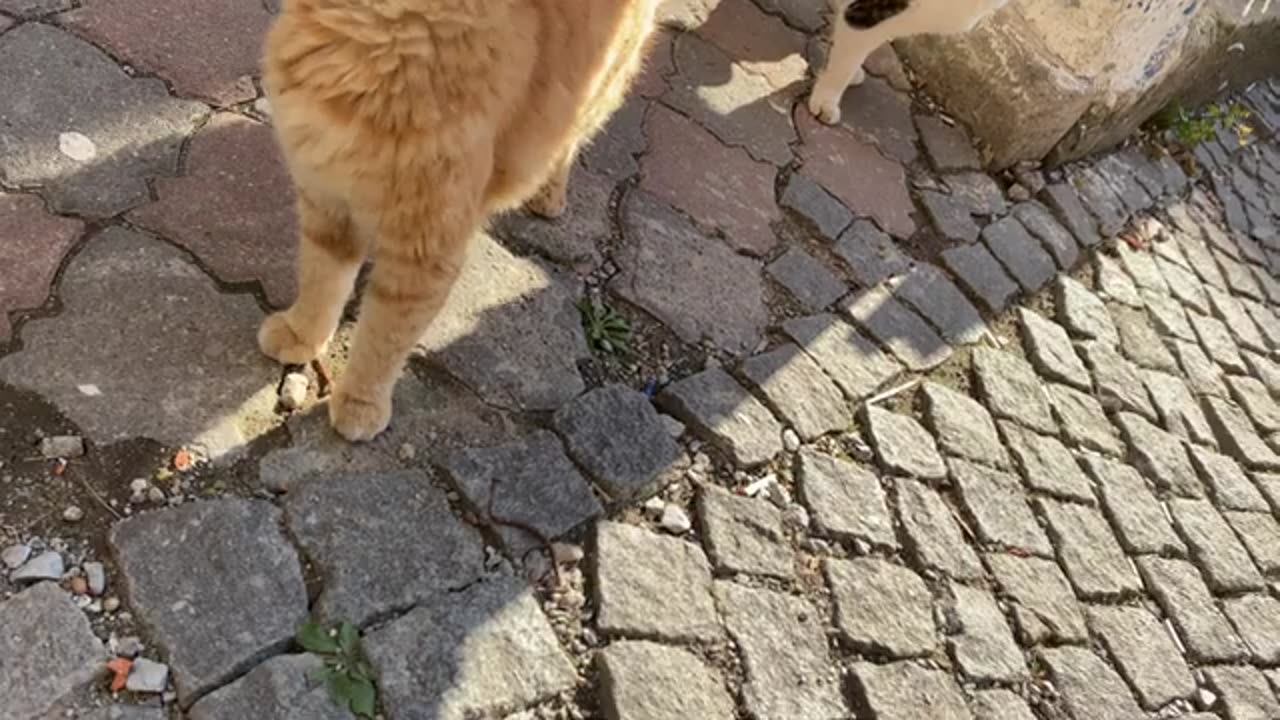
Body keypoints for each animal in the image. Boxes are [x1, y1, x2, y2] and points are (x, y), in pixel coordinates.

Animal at [259, 0, 660, 440]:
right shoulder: (326, 200)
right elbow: (320, 283)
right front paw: (301, 333)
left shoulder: (423, 251)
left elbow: (384, 337)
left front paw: (361, 403)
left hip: (597, 94)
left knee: (567, 142)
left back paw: (548, 194)